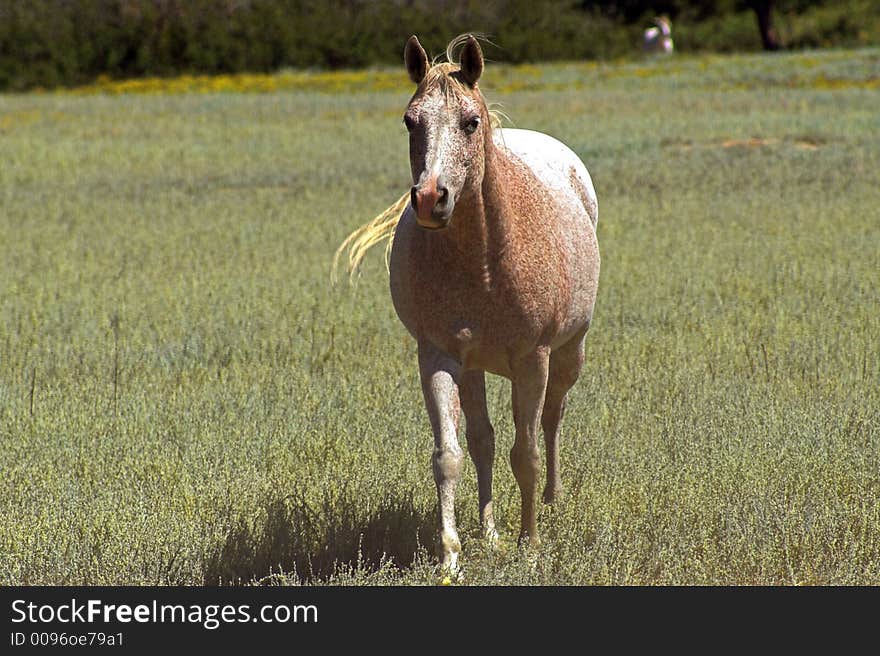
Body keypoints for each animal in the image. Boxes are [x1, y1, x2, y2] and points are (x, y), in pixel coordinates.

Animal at [334, 34, 600, 576]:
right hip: (474, 365)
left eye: (470, 122)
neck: (482, 260)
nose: (429, 198)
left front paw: (530, 547)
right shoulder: (437, 356)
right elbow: (451, 454)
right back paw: (490, 532)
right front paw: (452, 557)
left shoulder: (533, 360)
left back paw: (552, 502)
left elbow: (527, 453)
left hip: (569, 353)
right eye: (409, 121)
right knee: (483, 441)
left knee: (552, 419)